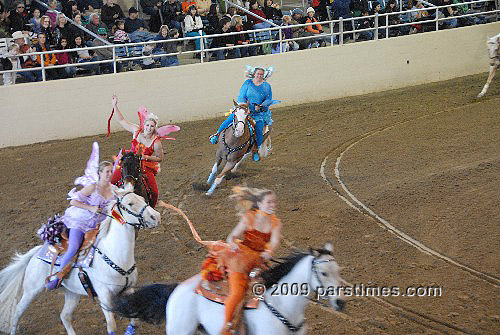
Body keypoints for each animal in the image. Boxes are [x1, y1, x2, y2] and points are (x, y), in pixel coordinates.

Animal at [0, 184, 160, 335]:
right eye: (130, 203)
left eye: (143, 199)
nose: (156, 216)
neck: (117, 255)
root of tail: (36, 253)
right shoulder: (104, 296)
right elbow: (111, 327)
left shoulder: (129, 290)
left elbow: (134, 319)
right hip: (31, 290)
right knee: (17, 311)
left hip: (72, 293)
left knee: (64, 316)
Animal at [110, 244, 344, 335]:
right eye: (324, 273)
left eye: (338, 270)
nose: (340, 302)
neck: (283, 308)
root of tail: (176, 289)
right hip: (179, 330)